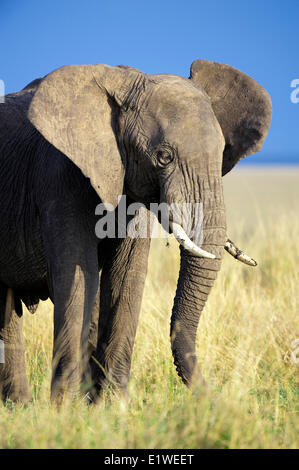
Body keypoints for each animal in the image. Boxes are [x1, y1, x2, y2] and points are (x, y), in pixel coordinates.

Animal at [0, 58, 272, 404]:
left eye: (222, 152)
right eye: (163, 157)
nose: (214, 397)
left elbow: (126, 274)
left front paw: (112, 407)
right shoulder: (60, 175)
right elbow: (78, 276)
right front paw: (65, 410)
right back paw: (22, 407)